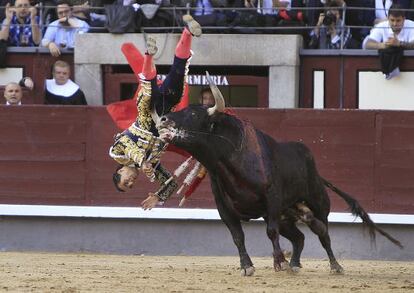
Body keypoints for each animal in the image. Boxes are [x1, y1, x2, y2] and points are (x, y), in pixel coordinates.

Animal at [154, 79, 400, 274]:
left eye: (194, 113)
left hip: (318, 204)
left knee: (323, 233)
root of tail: (316, 171)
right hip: (286, 216)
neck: (230, 161)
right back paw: (295, 264)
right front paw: (247, 266)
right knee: (299, 236)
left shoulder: (271, 200)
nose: (163, 119)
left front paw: (278, 262)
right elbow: (237, 237)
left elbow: (270, 232)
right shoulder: (225, 209)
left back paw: (334, 266)